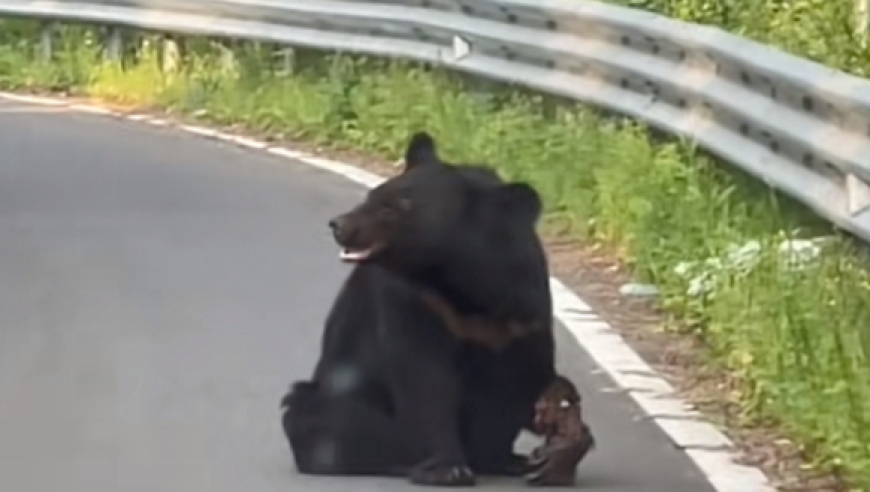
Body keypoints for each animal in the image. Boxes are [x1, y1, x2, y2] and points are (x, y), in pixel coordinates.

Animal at [282, 133, 564, 486]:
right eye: (374, 194)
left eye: (394, 207)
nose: (339, 224)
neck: (461, 281)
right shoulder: (416, 301)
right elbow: (423, 375)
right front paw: (448, 468)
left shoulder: (520, 306)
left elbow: (522, 375)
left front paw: (512, 454)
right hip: (335, 398)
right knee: (320, 418)